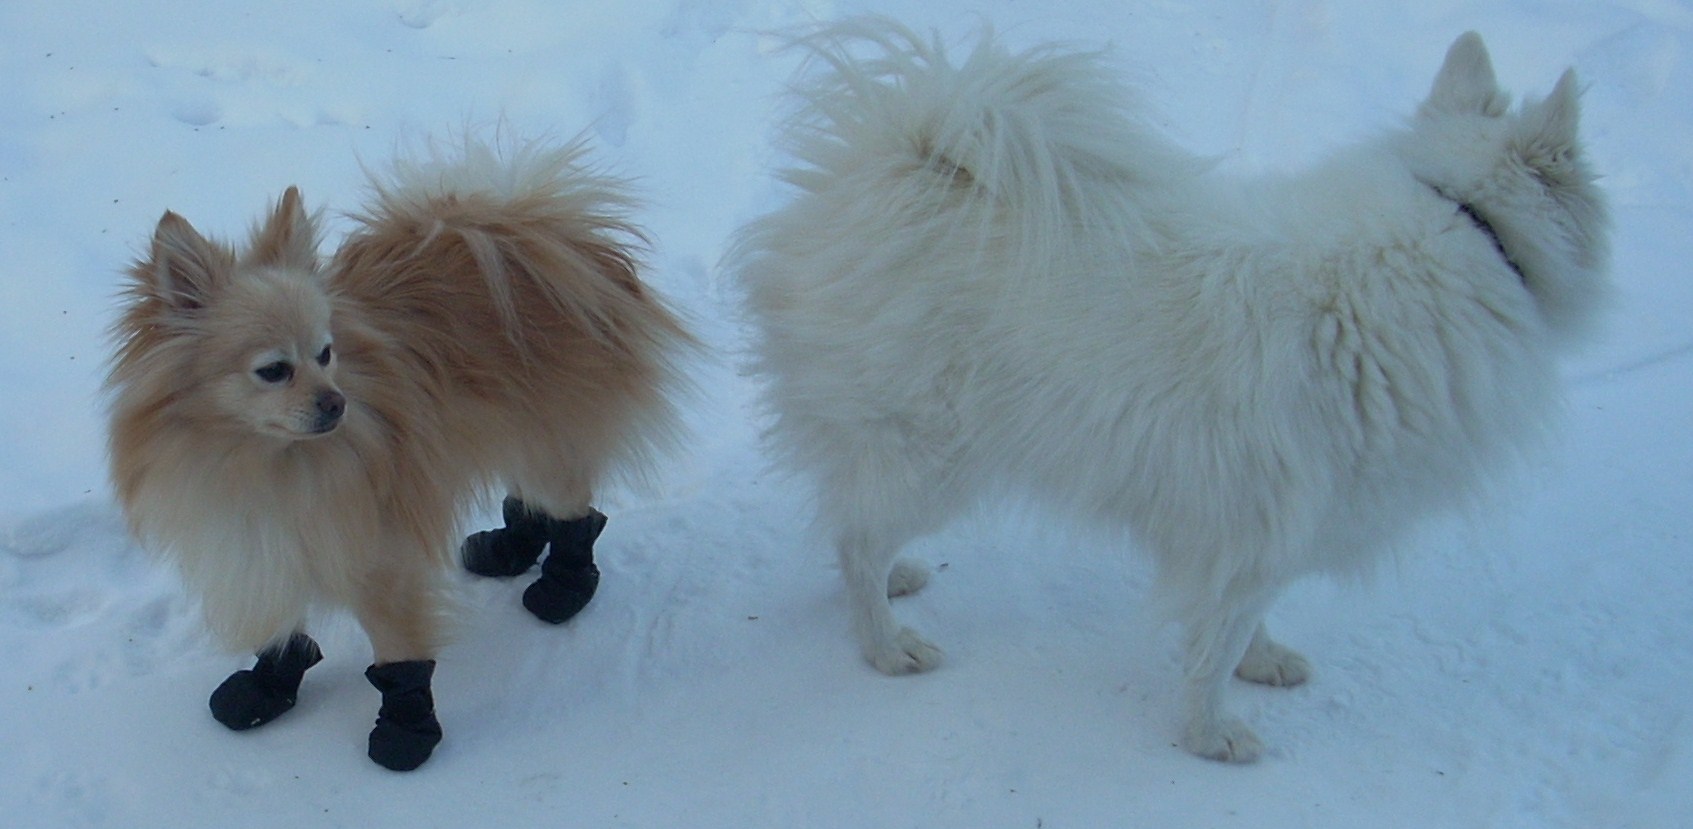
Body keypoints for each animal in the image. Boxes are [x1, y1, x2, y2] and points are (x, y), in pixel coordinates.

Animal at [109, 137, 690, 771]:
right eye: (274, 370)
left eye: (326, 354)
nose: (336, 403)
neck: (264, 460)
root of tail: (552, 236)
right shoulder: (272, 539)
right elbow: (285, 622)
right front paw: (267, 686)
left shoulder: (374, 554)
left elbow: (398, 656)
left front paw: (406, 730)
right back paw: (505, 548)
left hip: (549, 434)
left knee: (572, 509)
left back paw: (562, 588)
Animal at [734, 19, 1604, 761]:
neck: (1463, 221)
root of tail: (888, 166)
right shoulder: (1264, 526)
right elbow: (1212, 646)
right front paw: (1209, 735)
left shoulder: (1253, 528)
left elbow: (1242, 624)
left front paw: (1262, 663)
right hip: (933, 455)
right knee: (855, 538)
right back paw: (885, 643)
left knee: (849, 516)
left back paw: (898, 578)